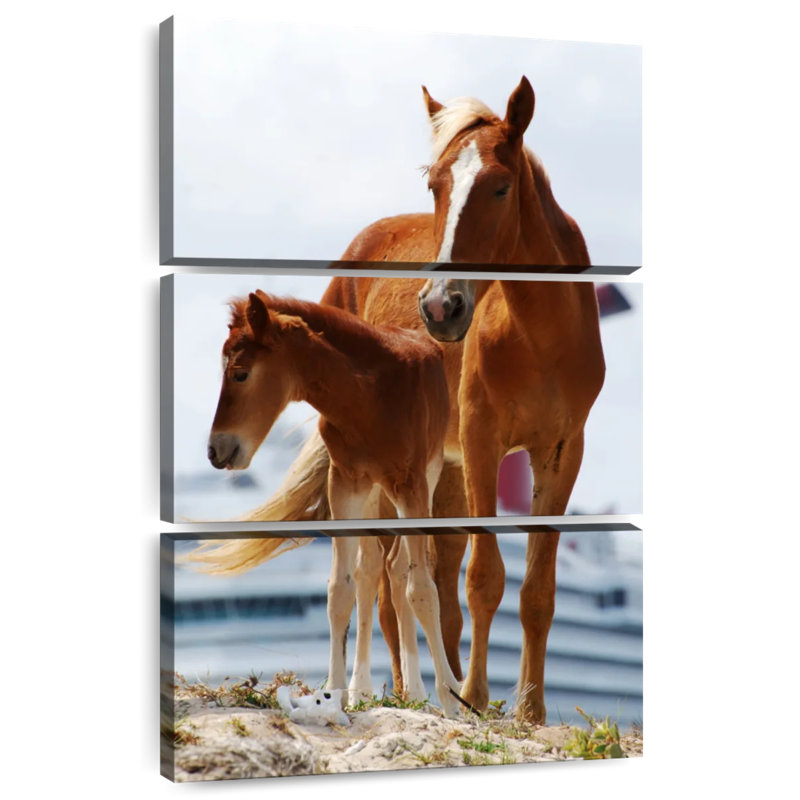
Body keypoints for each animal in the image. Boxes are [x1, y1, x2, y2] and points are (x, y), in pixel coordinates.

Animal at [195, 290, 462, 716]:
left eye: (240, 373)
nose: (215, 451)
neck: (368, 398)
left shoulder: (413, 484)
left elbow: (422, 588)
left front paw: (452, 700)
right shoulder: (344, 483)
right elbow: (340, 588)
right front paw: (334, 692)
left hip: (424, 479)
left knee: (399, 568)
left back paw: (418, 691)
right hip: (372, 492)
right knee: (376, 567)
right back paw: (369, 689)